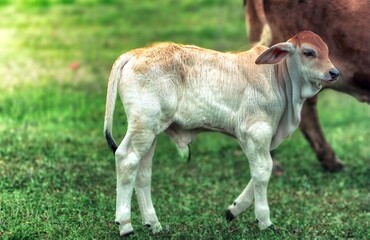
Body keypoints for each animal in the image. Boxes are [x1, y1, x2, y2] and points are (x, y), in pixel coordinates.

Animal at [103, 30, 338, 236]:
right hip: (144, 126)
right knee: (126, 160)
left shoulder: (265, 138)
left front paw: (234, 209)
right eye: (308, 52)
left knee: (143, 172)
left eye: (327, 50)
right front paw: (264, 220)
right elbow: (263, 171)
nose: (334, 73)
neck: (279, 78)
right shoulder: (256, 132)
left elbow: (262, 171)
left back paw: (153, 224)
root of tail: (134, 53)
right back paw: (125, 225)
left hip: (151, 132)